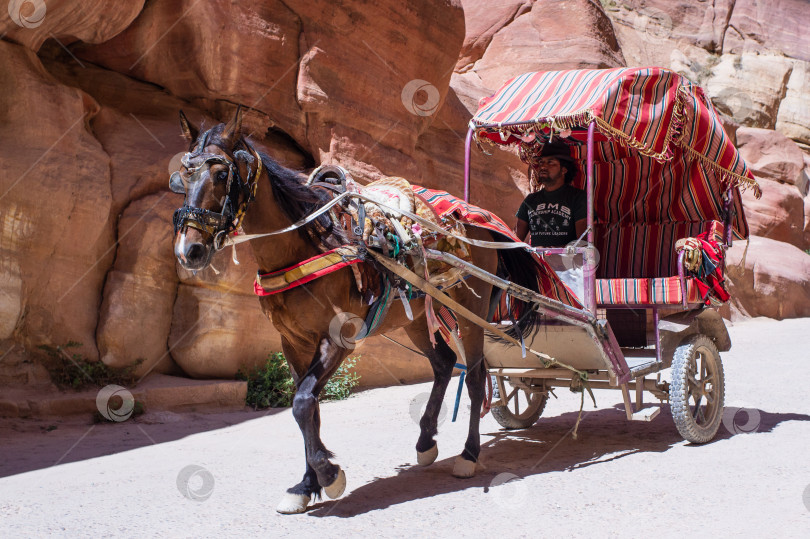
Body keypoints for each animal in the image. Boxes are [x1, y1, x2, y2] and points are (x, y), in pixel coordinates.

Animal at [170, 106, 536, 516]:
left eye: (221, 174)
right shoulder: (292, 342)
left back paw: (469, 456)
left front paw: (328, 475)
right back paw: (426, 442)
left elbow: (301, 403)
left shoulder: (338, 338)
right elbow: (308, 408)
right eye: (182, 175)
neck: (307, 244)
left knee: (474, 378)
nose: (189, 251)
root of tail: (477, 222)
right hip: (412, 318)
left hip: (470, 312)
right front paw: (306, 485)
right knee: (443, 363)